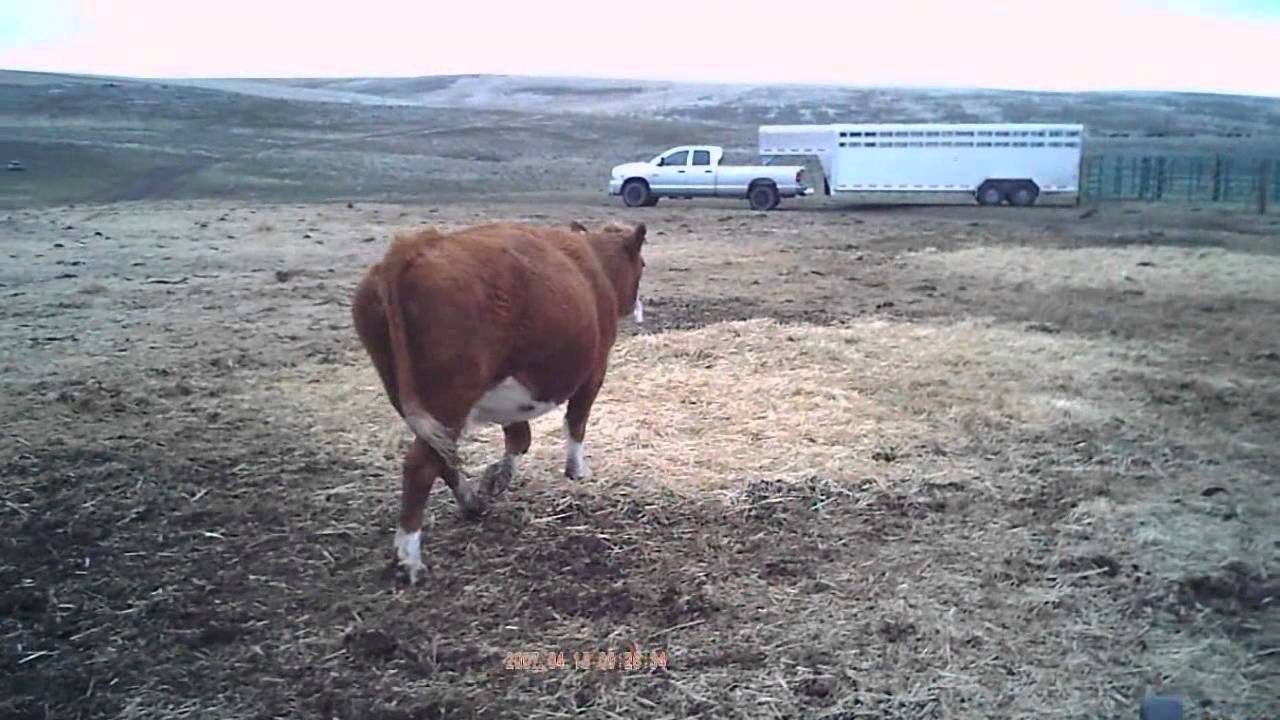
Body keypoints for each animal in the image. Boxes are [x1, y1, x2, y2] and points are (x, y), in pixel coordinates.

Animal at [351, 220, 647, 583]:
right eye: (642, 265)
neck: (595, 264)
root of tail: (411, 248)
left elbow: (519, 438)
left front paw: (496, 478)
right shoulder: (594, 370)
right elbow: (576, 423)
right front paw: (577, 471)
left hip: (411, 396)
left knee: (441, 457)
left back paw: (471, 503)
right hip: (450, 398)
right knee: (420, 466)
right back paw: (409, 558)